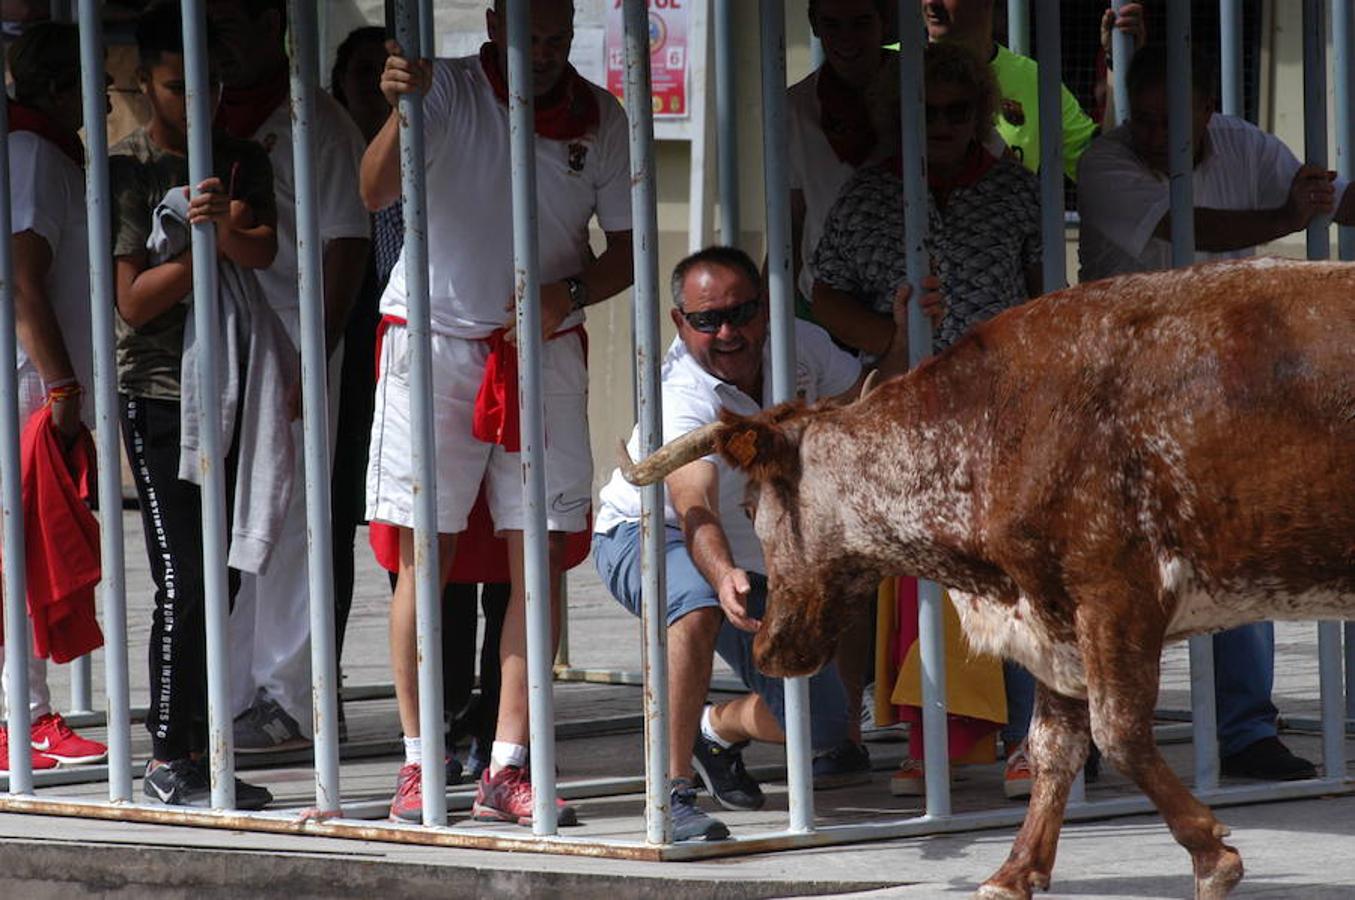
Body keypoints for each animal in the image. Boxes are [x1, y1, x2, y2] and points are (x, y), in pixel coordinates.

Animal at [623, 254, 1355, 900]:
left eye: (750, 506)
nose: (770, 645)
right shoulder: (1053, 615)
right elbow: (1054, 745)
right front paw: (1013, 871)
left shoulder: (1114, 593)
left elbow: (1118, 732)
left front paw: (1212, 856)